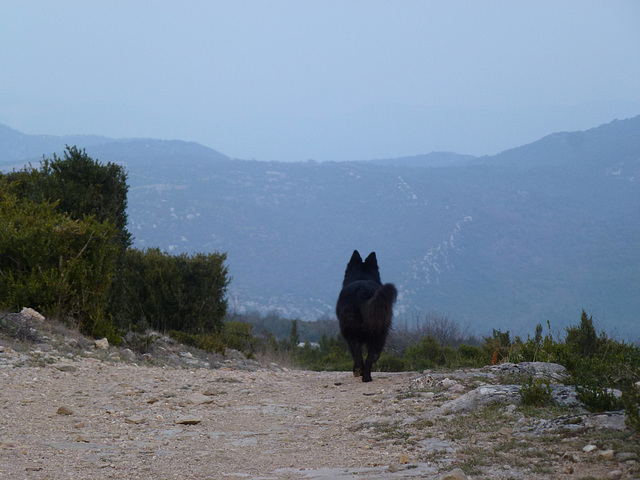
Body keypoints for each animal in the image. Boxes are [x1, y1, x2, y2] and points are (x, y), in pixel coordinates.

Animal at [336, 251, 396, 382]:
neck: (362, 277)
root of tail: (363, 291)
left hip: (353, 331)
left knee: (358, 351)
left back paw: (361, 372)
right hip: (378, 333)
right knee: (369, 355)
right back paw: (366, 377)